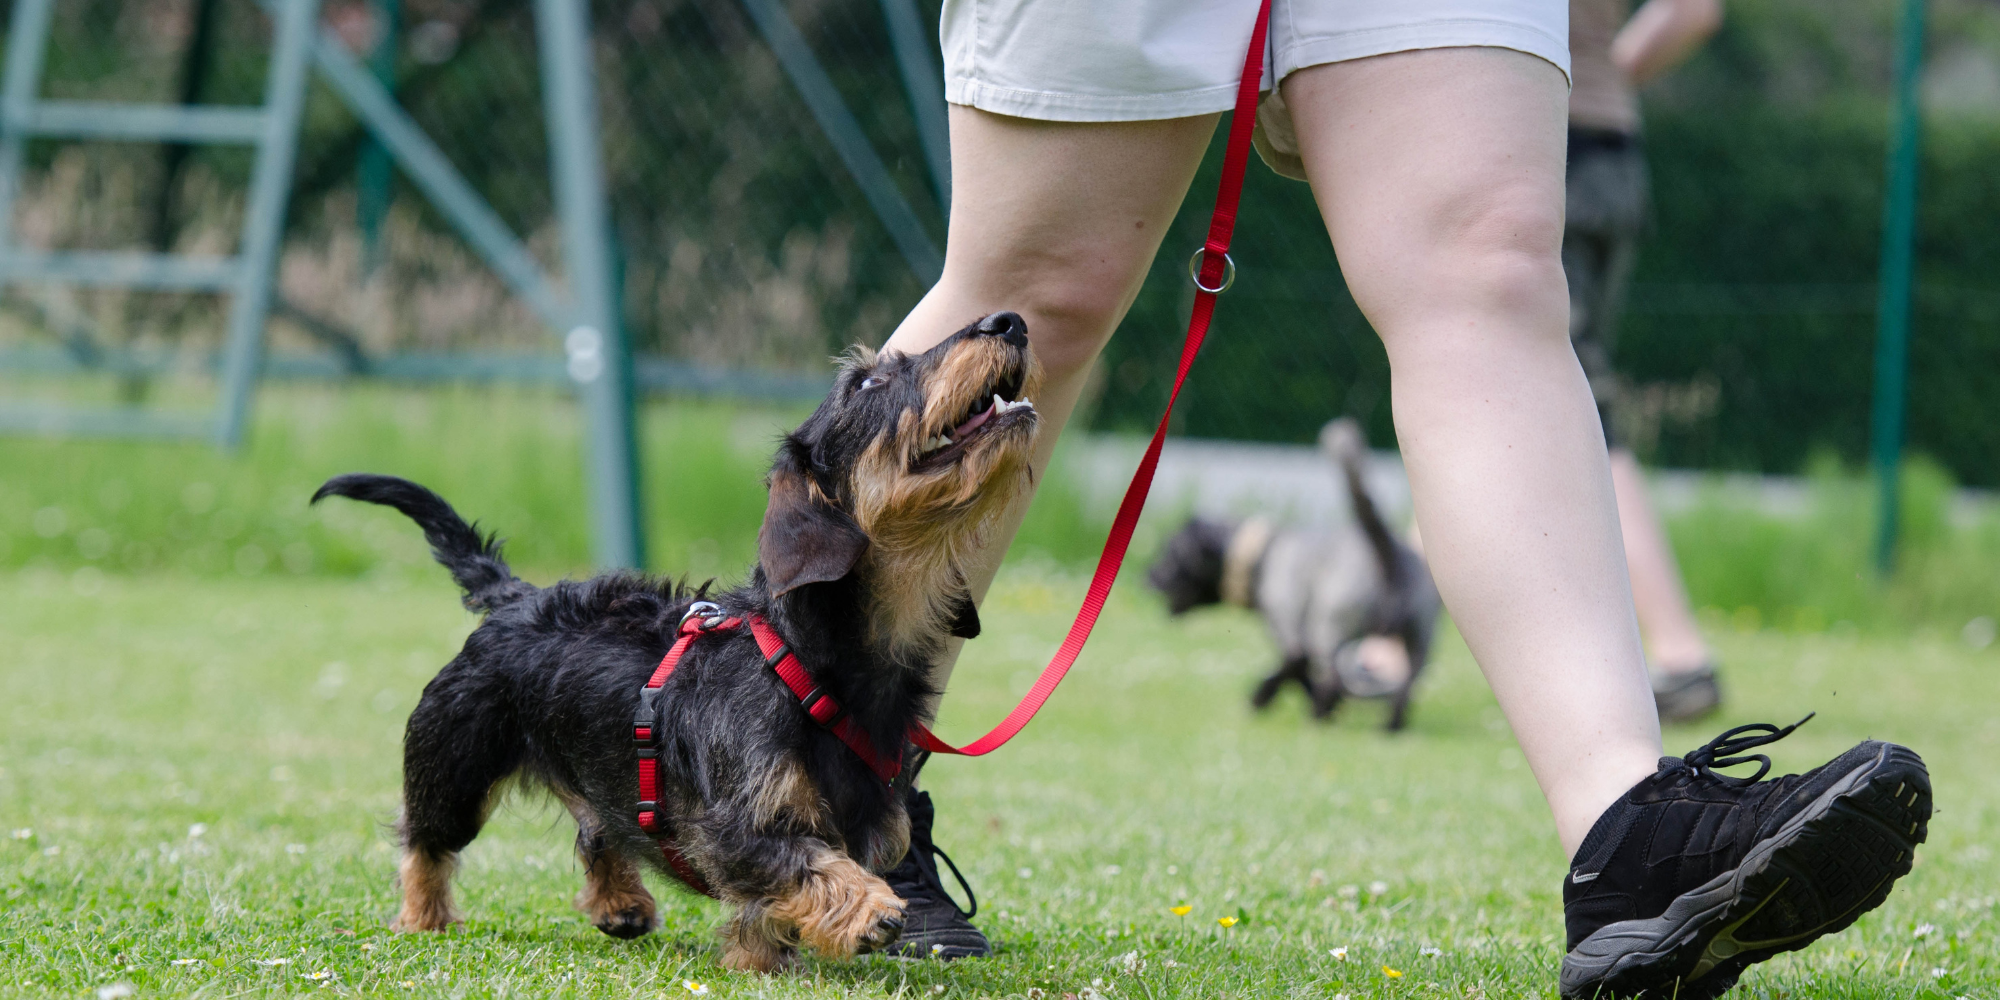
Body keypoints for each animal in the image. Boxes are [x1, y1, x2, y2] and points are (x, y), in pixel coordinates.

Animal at [312, 310, 1048, 968]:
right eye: (868, 381)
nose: (1009, 321)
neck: (809, 663)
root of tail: (516, 597)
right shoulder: (732, 829)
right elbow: (809, 864)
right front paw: (869, 910)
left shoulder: (871, 824)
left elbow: (773, 904)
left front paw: (759, 958)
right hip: (453, 764)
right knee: (425, 843)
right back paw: (423, 917)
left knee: (598, 829)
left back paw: (620, 904)